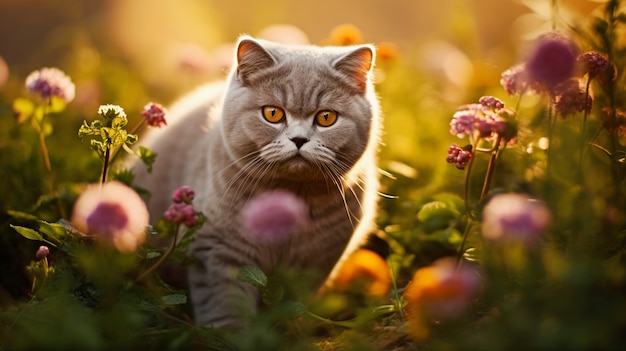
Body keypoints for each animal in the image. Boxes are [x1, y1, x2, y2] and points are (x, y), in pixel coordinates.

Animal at [132, 35, 380, 328]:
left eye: (326, 117)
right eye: (273, 113)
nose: (299, 139)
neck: (289, 197)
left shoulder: (315, 262)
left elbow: (293, 302)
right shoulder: (219, 248)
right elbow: (225, 303)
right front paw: (232, 333)